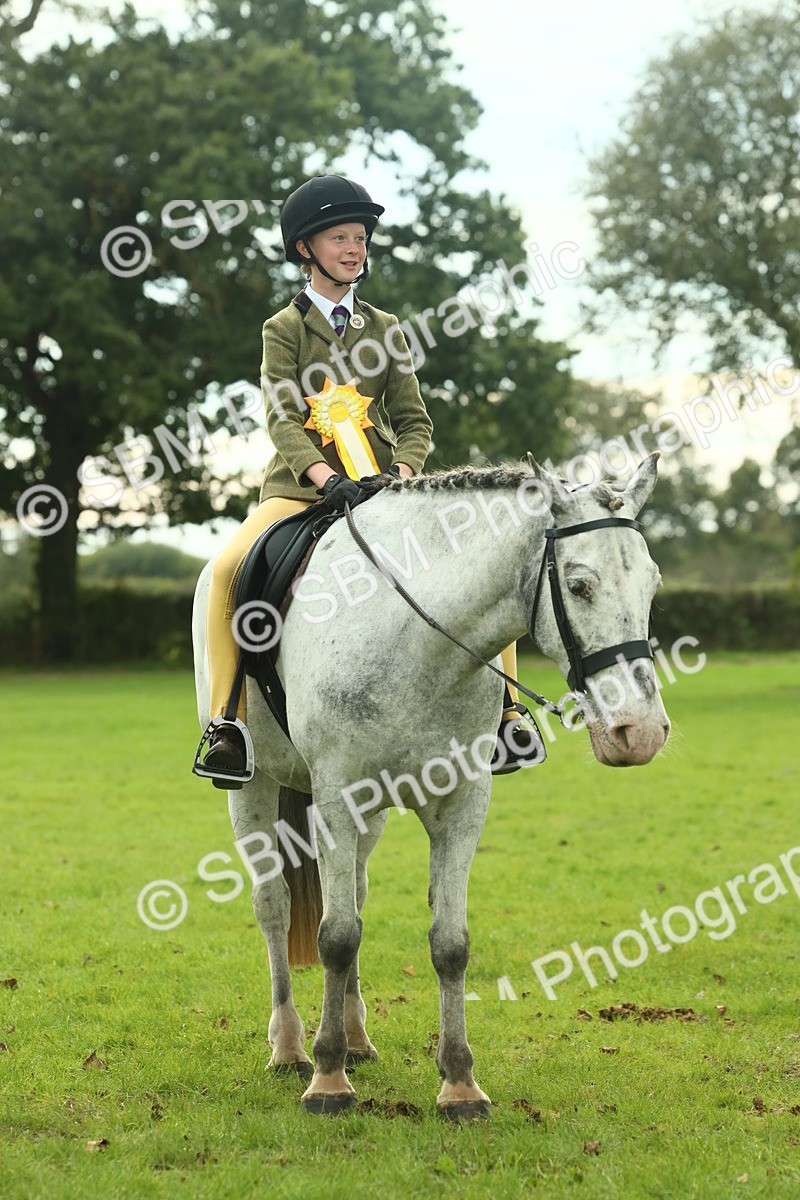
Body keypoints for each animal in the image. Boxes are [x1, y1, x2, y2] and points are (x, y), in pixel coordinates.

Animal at [192, 454, 670, 1119]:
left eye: (653, 585)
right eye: (579, 586)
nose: (640, 732)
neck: (417, 642)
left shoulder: (462, 803)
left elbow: (448, 942)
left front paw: (460, 1084)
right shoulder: (337, 798)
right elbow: (334, 936)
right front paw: (329, 1081)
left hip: (371, 815)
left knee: (355, 896)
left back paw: (357, 1037)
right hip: (254, 788)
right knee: (274, 906)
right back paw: (290, 1048)